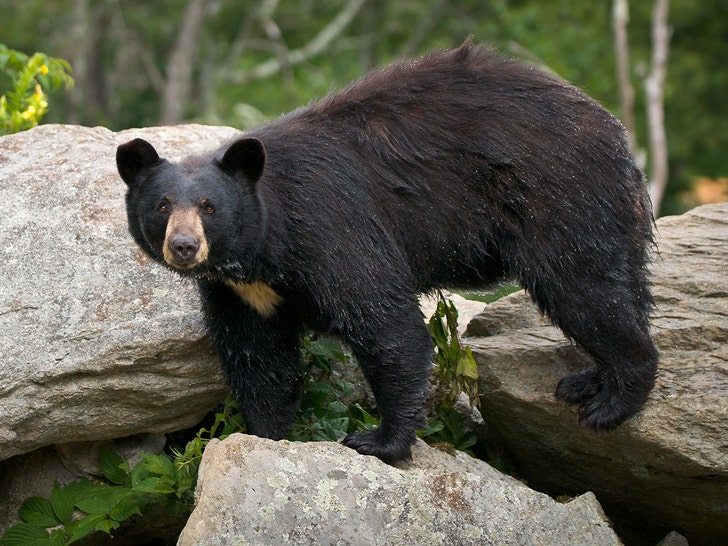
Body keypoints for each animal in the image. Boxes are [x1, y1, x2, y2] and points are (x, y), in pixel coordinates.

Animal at [118, 42, 660, 462]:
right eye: (162, 205)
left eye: (209, 207)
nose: (184, 246)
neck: (263, 249)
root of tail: (617, 134)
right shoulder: (241, 291)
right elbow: (259, 358)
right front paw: (265, 435)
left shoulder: (331, 226)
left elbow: (385, 325)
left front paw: (380, 440)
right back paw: (588, 380)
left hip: (559, 198)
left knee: (583, 289)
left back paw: (611, 400)